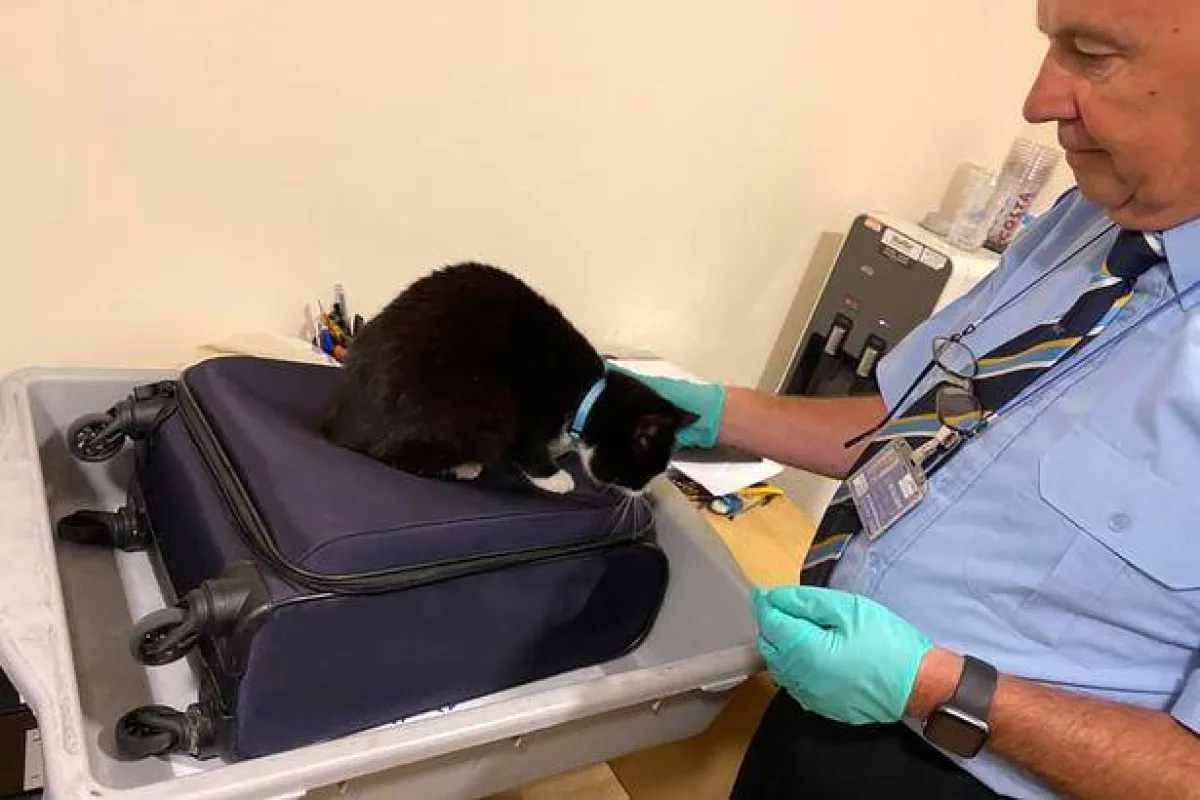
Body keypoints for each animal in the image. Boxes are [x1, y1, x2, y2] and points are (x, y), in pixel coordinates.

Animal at [320, 262, 698, 494]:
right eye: (644, 469)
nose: (642, 493)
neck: (586, 397)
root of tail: (338, 423)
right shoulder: (532, 400)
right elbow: (528, 444)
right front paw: (554, 477)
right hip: (479, 399)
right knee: (391, 452)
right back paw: (464, 465)